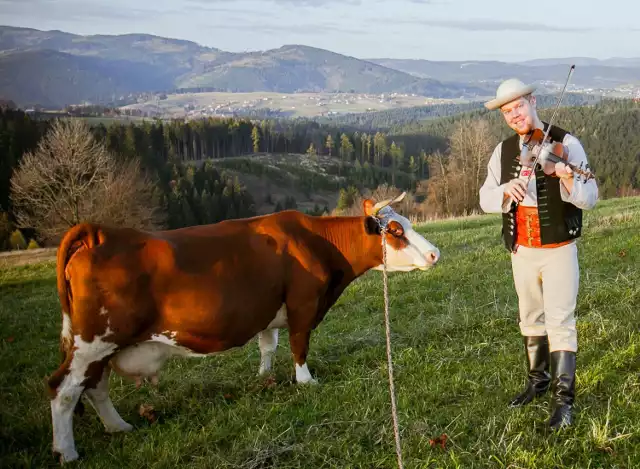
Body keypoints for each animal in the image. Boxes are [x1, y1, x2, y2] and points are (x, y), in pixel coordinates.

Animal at [46, 192, 440, 462]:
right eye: (395, 230)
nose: (436, 254)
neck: (317, 243)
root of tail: (100, 234)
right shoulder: (302, 305)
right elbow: (299, 344)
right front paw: (305, 381)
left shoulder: (269, 311)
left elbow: (269, 345)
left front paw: (264, 377)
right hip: (95, 341)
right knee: (63, 389)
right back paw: (67, 451)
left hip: (102, 345)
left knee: (95, 386)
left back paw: (118, 427)